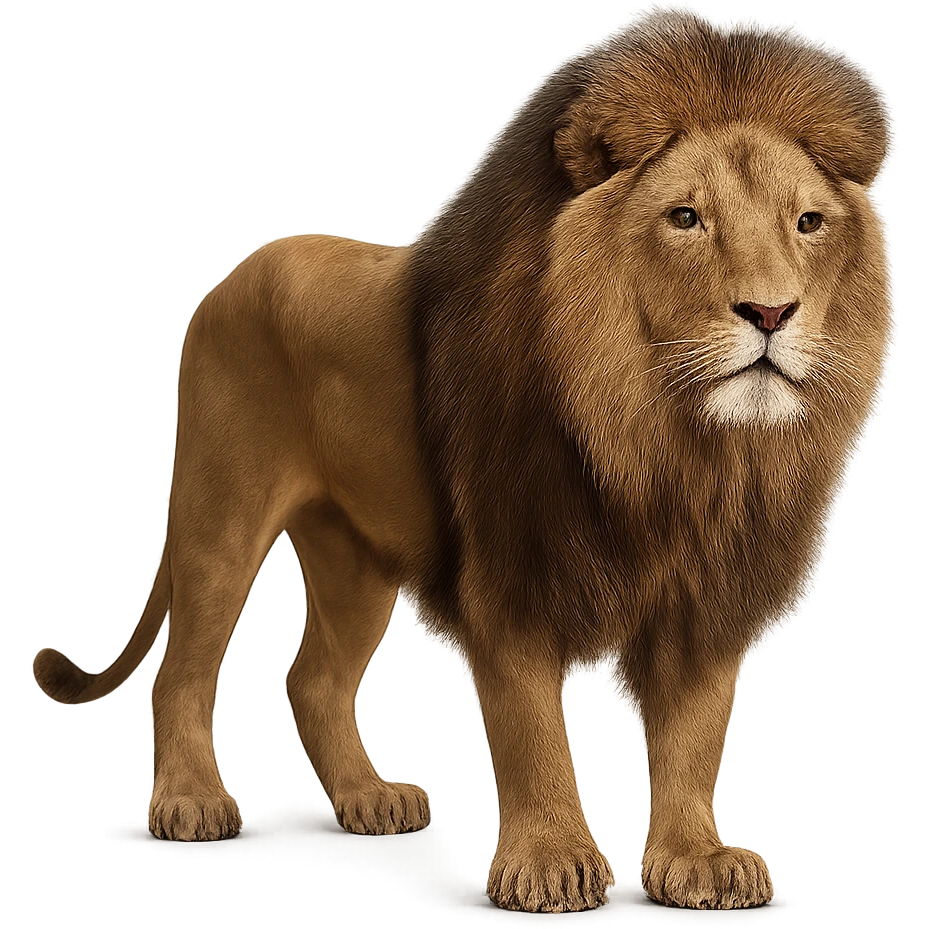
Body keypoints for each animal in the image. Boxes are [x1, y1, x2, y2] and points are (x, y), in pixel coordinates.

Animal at [32, 12, 895, 914]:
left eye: (808, 223)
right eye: (685, 217)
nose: (771, 311)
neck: (666, 439)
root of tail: (235, 272)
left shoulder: (705, 597)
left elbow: (693, 736)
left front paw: (696, 858)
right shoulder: (510, 573)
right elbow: (531, 733)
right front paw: (550, 862)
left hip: (352, 555)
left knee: (312, 678)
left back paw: (369, 798)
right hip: (221, 513)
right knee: (183, 670)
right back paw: (191, 801)